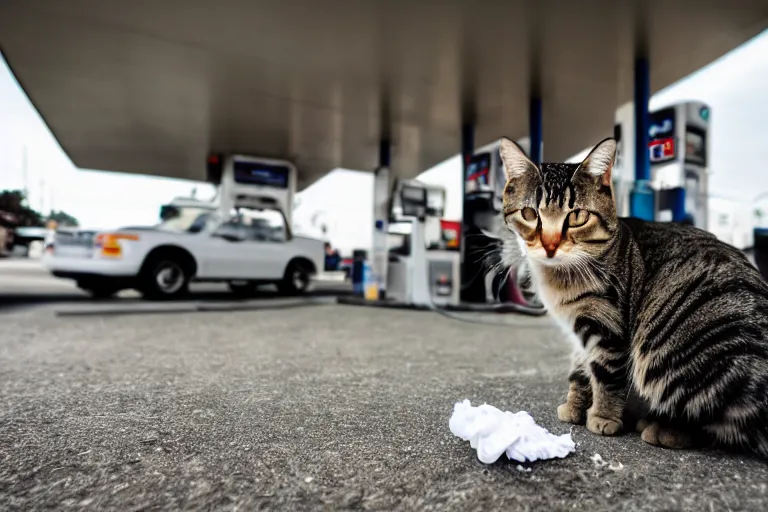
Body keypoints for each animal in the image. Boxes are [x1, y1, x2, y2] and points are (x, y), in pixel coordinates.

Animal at [498, 135, 768, 456]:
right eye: (529, 214)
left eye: (577, 217)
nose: (550, 246)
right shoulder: (579, 332)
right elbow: (580, 370)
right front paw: (574, 406)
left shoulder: (606, 325)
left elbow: (606, 375)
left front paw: (603, 417)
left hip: (669, 349)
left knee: (719, 419)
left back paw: (663, 429)